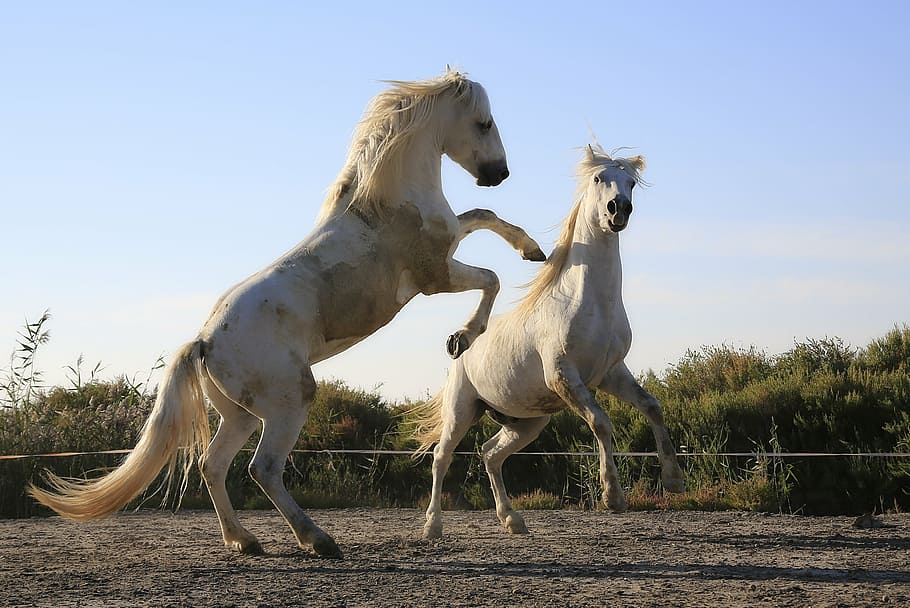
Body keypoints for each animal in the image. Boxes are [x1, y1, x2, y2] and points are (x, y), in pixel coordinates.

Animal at [28, 68, 545, 558]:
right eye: (484, 122)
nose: (498, 172)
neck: (385, 203)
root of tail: (205, 342)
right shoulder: (435, 276)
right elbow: (490, 276)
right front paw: (463, 337)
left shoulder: (448, 246)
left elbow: (483, 217)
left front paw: (532, 251)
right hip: (290, 399)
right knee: (263, 469)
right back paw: (317, 540)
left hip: (240, 415)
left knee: (213, 465)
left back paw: (244, 541)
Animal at [412, 144, 686, 539]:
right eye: (599, 178)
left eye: (631, 183)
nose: (618, 210)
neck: (591, 303)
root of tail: (460, 350)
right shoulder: (564, 376)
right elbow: (601, 422)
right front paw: (613, 496)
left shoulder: (610, 373)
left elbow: (652, 406)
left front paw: (674, 480)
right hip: (461, 409)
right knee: (441, 458)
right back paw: (433, 526)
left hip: (526, 422)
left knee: (490, 454)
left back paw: (513, 520)